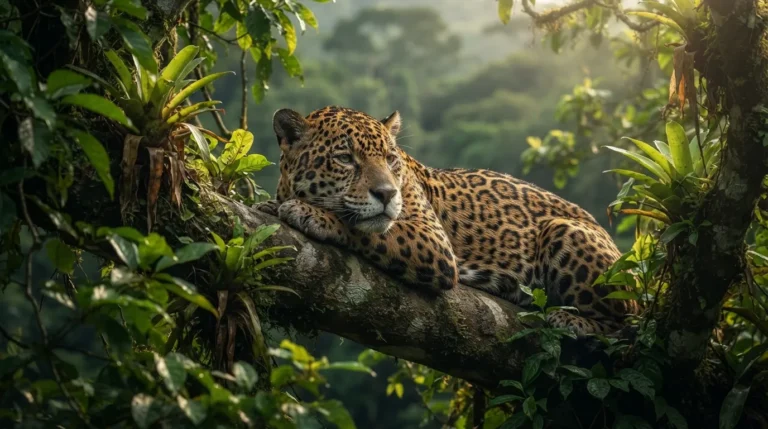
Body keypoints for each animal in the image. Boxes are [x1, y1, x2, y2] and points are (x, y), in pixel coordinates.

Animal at [256, 105, 640, 335]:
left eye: (391, 159)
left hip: (563, 231)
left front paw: (310, 213)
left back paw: (570, 319)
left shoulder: (433, 242)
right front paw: (271, 206)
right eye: (344, 158)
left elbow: (366, 228)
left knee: (626, 324)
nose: (387, 193)